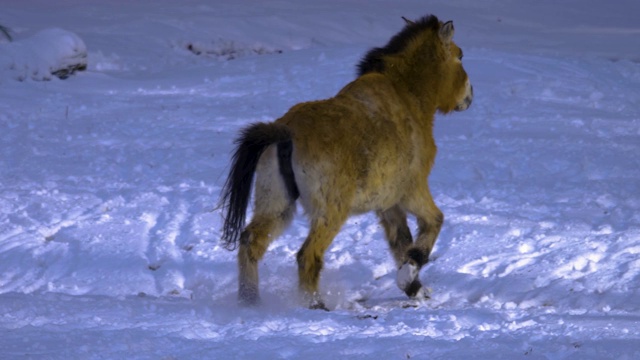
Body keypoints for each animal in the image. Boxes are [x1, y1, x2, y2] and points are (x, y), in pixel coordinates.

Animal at [218, 14, 472, 310]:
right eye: (460, 55)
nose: (469, 95)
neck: (406, 97)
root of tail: (284, 131)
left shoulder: (388, 204)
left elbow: (401, 240)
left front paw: (413, 287)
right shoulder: (412, 191)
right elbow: (433, 222)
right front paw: (409, 275)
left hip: (277, 205)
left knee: (251, 242)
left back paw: (250, 301)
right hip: (329, 214)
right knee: (307, 256)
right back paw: (315, 305)